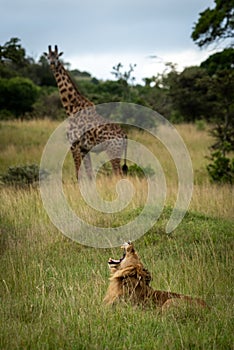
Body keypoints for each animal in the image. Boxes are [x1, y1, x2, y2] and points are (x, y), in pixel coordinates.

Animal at [44, 44, 128, 179]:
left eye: (57, 57)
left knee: (118, 174)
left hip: (113, 151)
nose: (52, 64)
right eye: (48, 57)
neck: (71, 108)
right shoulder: (84, 148)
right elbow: (89, 174)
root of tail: (124, 135)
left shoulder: (74, 145)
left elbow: (78, 173)